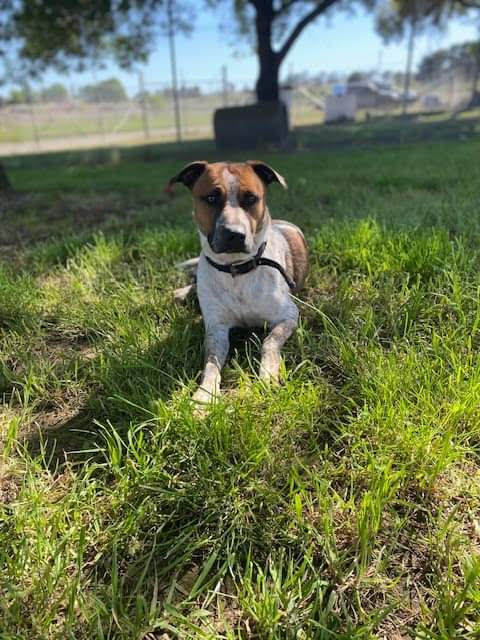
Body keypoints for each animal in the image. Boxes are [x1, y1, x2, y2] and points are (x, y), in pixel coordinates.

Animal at [169, 162, 310, 408]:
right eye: (211, 197)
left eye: (251, 198)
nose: (234, 234)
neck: (236, 270)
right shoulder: (216, 329)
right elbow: (211, 364)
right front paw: (204, 395)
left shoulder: (288, 316)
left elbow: (269, 342)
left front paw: (268, 374)